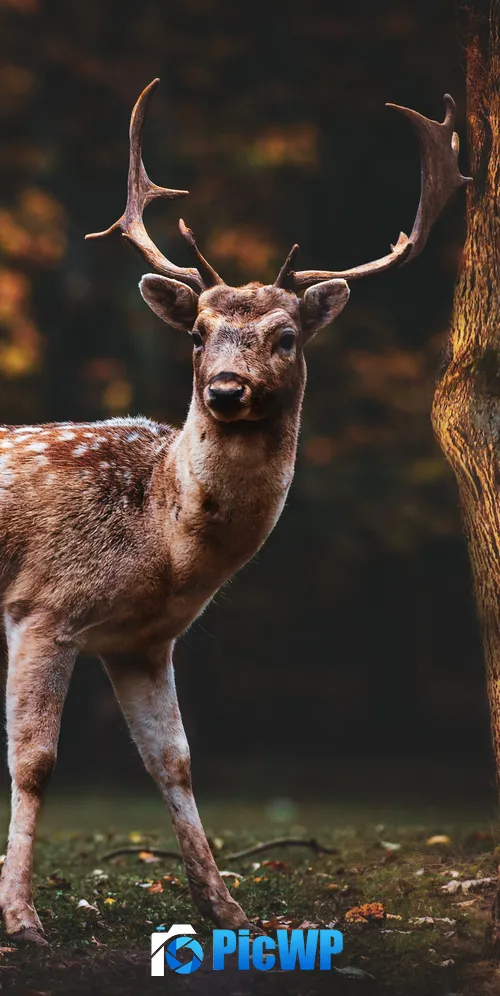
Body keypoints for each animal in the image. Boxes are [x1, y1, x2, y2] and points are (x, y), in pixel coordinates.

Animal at [0, 80, 469, 944]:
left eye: (285, 337)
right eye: (196, 334)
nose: (224, 389)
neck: (161, 541)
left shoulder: (142, 641)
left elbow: (175, 761)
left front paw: (224, 906)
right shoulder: (40, 604)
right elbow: (35, 763)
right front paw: (22, 919)